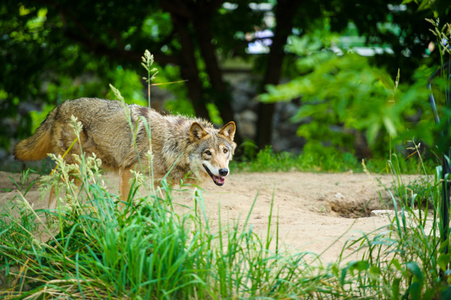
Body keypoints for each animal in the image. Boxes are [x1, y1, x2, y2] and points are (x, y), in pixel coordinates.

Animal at [14, 97, 237, 207]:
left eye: (224, 151)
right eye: (208, 153)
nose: (224, 172)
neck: (169, 145)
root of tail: (59, 106)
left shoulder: (162, 183)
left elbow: (163, 210)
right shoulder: (129, 172)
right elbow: (124, 204)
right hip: (76, 168)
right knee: (55, 189)